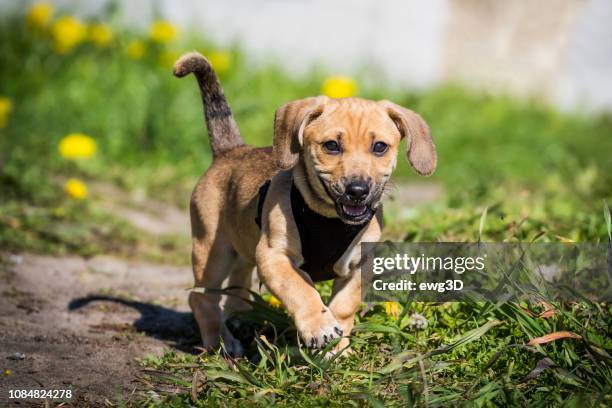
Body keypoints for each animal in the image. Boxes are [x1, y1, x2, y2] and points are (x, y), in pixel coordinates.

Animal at [172, 52, 436, 356]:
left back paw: (240, 320)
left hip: (241, 249)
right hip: (213, 251)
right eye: (331, 145)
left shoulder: (361, 264)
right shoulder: (274, 256)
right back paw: (221, 341)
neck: (329, 219)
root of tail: (230, 151)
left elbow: (344, 306)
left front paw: (338, 346)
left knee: (237, 287)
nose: (358, 190)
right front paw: (319, 327)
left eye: (380, 147)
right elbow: (302, 289)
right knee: (201, 298)